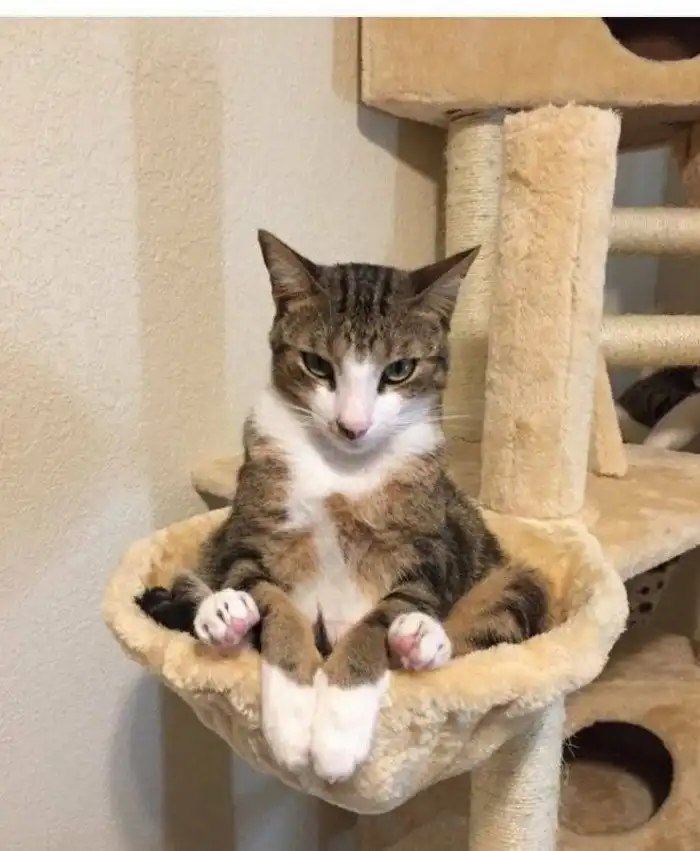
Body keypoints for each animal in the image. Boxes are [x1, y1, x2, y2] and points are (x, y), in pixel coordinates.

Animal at [138, 231, 552, 783]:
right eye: (317, 364)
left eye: (399, 370)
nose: (352, 426)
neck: (342, 473)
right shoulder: (248, 534)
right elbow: (276, 605)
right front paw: (293, 721)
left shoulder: (430, 551)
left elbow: (380, 619)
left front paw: (337, 731)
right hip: (211, 543)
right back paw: (225, 618)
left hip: (514, 579)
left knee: (488, 627)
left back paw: (420, 641)